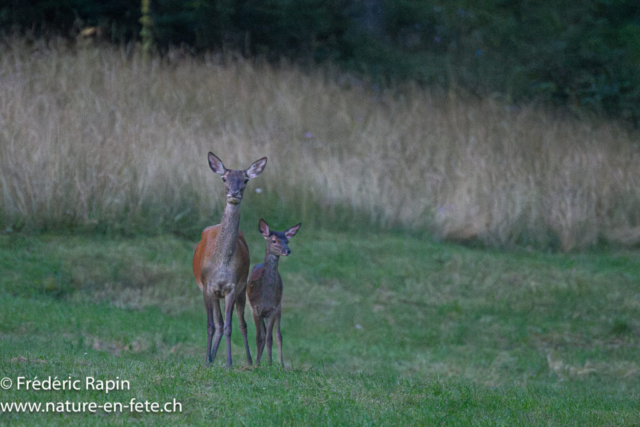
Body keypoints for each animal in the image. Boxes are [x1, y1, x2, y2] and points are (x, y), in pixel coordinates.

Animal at [192, 151, 268, 368]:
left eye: (245, 180)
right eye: (224, 178)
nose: (234, 194)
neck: (222, 264)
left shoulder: (232, 287)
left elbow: (228, 326)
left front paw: (228, 363)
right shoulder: (208, 286)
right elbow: (211, 325)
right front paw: (207, 360)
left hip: (242, 291)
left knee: (241, 324)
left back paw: (249, 361)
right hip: (216, 294)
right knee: (217, 324)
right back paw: (210, 358)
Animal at [248, 219, 302, 370]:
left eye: (287, 241)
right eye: (273, 240)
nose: (287, 250)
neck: (265, 296)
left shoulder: (272, 309)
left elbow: (270, 338)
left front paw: (270, 363)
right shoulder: (256, 309)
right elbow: (259, 337)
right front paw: (257, 363)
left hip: (279, 307)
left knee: (278, 335)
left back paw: (282, 364)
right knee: (264, 332)